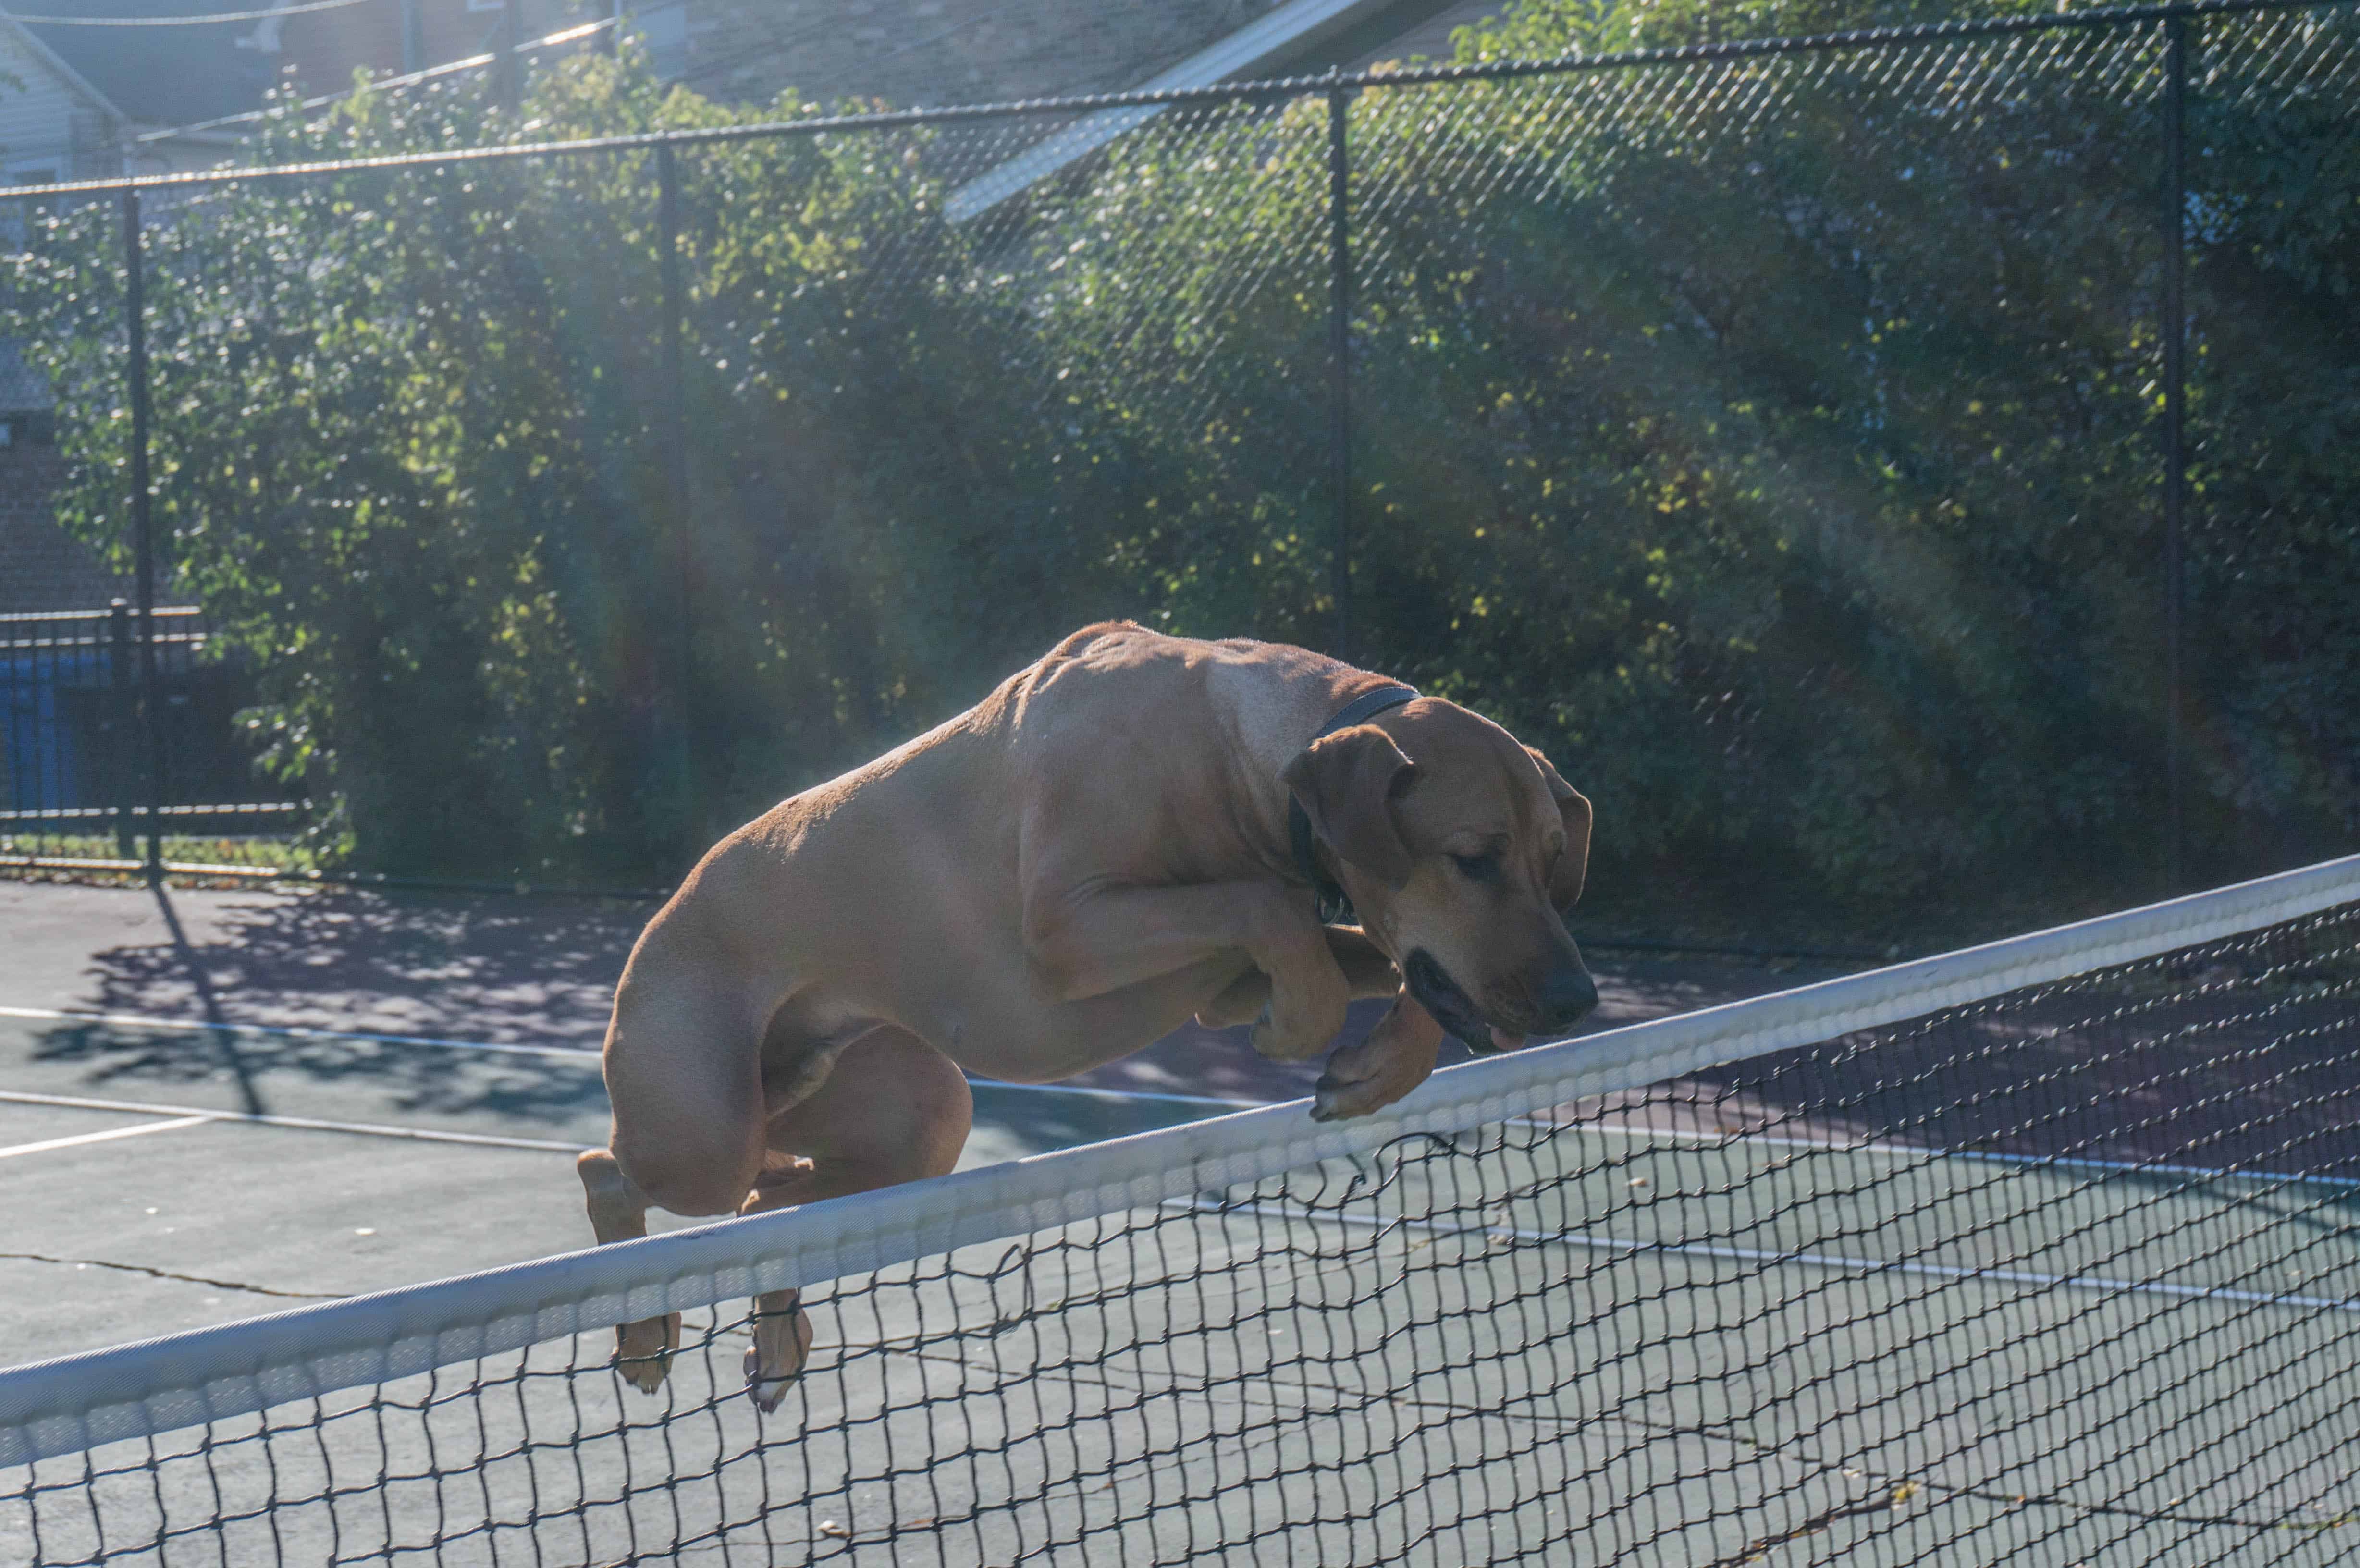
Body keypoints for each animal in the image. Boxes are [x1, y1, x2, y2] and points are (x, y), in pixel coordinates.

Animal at [578, 623, 1595, 1407]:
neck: (1239, 750)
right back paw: (643, 1328)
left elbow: (1368, 957)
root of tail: (658, 923)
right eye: (1472, 857)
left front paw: (1372, 1069)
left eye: (1553, 858)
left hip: (911, 1118)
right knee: (618, 1168)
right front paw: (1305, 1025)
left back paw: (774, 1336)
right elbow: (1270, 907)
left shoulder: (1225, 977)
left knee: (764, 1200)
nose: (1576, 999)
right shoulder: (1070, 922)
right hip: (701, 1123)